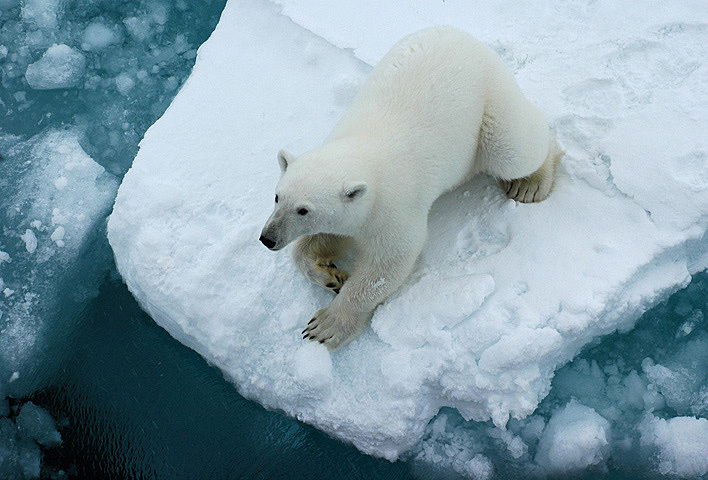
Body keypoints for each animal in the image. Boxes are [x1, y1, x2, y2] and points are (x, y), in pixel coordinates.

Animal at [260, 26, 561, 350]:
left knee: (514, 147)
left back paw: (531, 183)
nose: (267, 238)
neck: (365, 149)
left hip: (490, 98)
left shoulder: (393, 206)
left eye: (303, 210)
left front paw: (327, 324)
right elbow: (324, 239)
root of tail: (464, 35)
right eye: (277, 197)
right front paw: (331, 275)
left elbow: (388, 263)